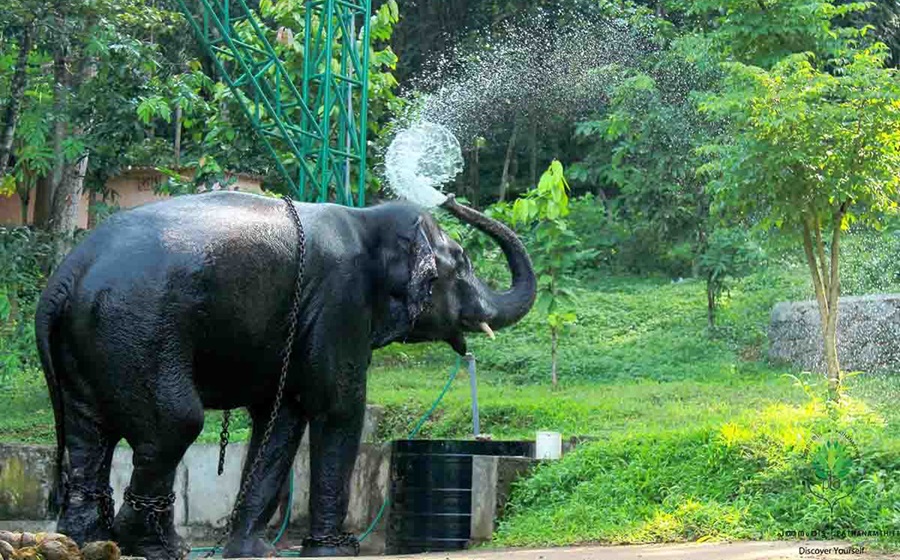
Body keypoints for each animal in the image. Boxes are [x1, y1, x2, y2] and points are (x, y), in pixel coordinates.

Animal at [35, 190, 536, 556]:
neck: (367, 218)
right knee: (176, 422)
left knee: (89, 432)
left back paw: (86, 541)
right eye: (463, 262)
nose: (449, 196)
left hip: (87, 344)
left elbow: (281, 420)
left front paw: (253, 552)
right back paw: (157, 547)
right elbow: (338, 408)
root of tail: (64, 276)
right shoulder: (339, 302)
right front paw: (333, 553)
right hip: (135, 329)